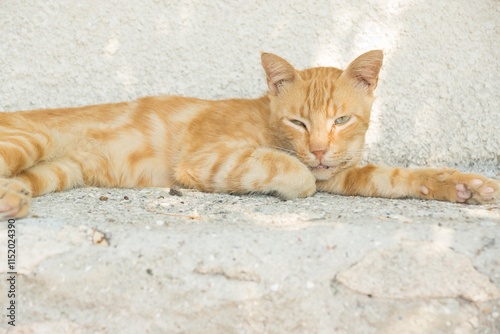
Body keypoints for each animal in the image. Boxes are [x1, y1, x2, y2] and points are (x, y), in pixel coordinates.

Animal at [0, 50, 498, 219]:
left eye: (341, 121)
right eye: (298, 122)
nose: (319, 149)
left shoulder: (341, 173)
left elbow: (395, 176)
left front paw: (464, 186)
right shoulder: (207, 158)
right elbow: (293, 173)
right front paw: (290, 179)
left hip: (55, 170)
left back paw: (14, 200)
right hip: (27, 142)